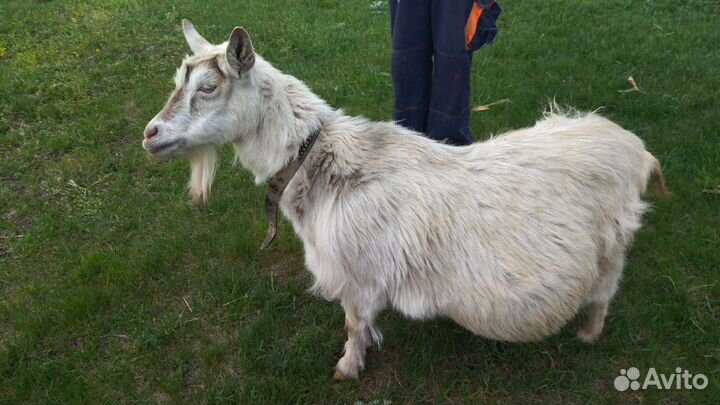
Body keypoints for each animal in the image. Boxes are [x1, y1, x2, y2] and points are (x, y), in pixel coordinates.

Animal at [142, 20, 668, 380]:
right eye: (178, 82)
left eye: (209, 87)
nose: (150, 134)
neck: (318, 163)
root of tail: (635, 148)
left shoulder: (355, 276)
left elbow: (354, 324)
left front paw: (347, 368)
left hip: (612, 248)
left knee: (604, 293)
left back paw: (588, 333)